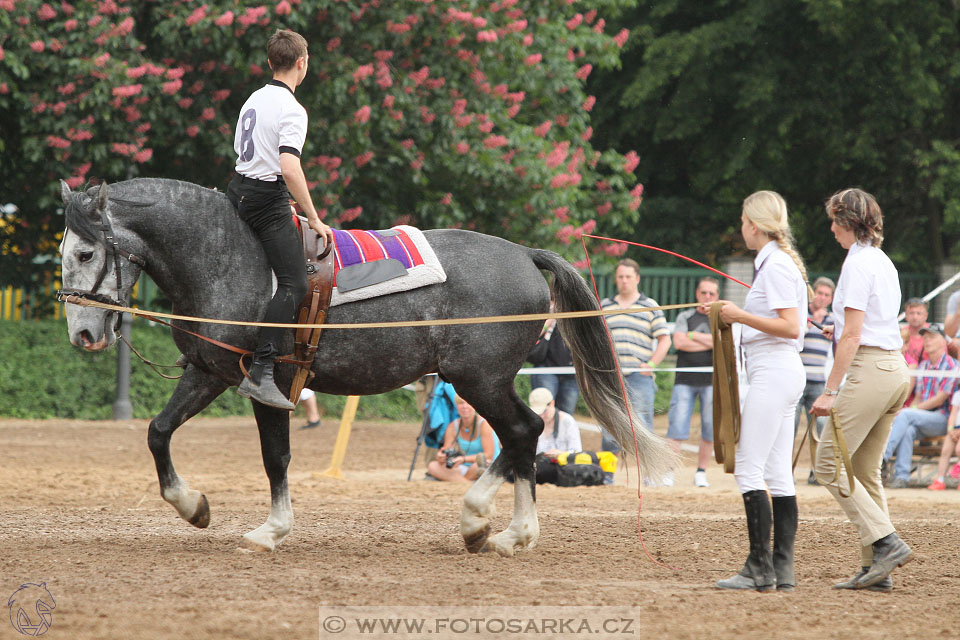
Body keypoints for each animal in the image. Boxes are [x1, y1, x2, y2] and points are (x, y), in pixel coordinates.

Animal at [58, 179, 676, 556]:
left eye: (86, 253)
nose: (83, 334)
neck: (231, 259)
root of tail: (525, 254)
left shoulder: (265, 384)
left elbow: (274, 457)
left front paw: (270, 530)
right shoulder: (209, 372)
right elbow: (158, 431)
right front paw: (194, 507)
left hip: (480, 380)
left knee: (524, 431)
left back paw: (482, 521)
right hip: (485, 382)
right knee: (523, 438)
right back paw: (510, 534)